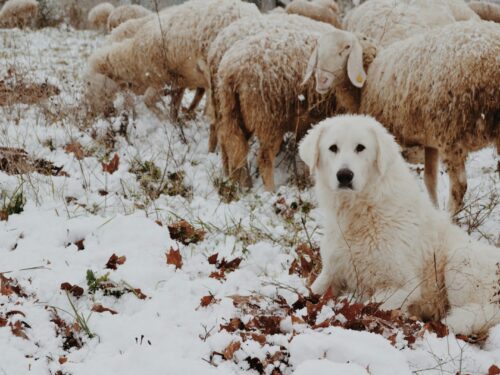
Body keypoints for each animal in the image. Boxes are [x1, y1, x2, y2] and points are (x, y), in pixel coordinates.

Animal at [90, 0, 260, 120]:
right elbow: (175, 106)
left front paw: (165, 119)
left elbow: (148, 101)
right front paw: (176, 121)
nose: (101, 113)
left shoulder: (160, 80)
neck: (133, 56)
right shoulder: (179, 81)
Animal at [215, 24, 376, 191]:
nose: (321, 80)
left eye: (347, 47)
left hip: (233, 110)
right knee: (263, 158)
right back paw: (269, 190)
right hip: (267, 117)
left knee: (231, 143)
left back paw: (236, 182)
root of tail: (231, 69)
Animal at [300, 115, 500, 338]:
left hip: (461, 259)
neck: (363, 210)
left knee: (480, 312)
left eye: (360, 148)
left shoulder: (402, 286)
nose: (344, 175)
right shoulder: (332, 272)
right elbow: (309, 294)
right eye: (333, 148)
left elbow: (368, 307)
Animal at [304, 20, 500, 214]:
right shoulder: (430, 140)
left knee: (459, 186)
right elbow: (430, 180)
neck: (368, 76)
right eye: (319, 48)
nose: (321, 80)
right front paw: (432, 208)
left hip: (451, 130)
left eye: (346, 47)